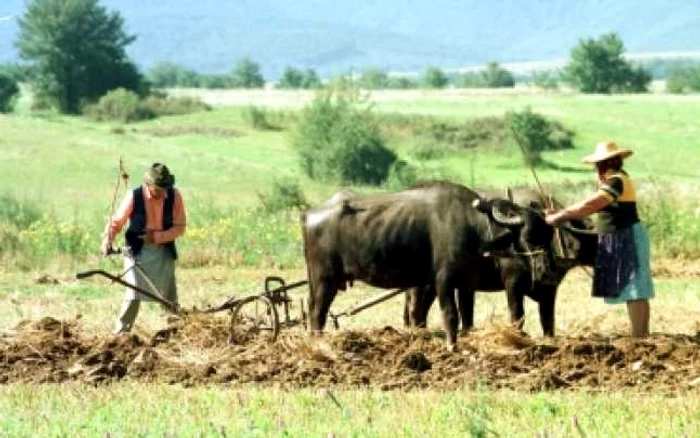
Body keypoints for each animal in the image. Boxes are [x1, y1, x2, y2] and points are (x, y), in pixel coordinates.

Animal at [404, 187, 596, 336]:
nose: (546, 270)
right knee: (416, 310)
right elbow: (517, 316)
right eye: (527, 236)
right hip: (421, 285)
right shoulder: (512, 284)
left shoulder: (549, 290)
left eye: (548, 236)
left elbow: (548, 322)